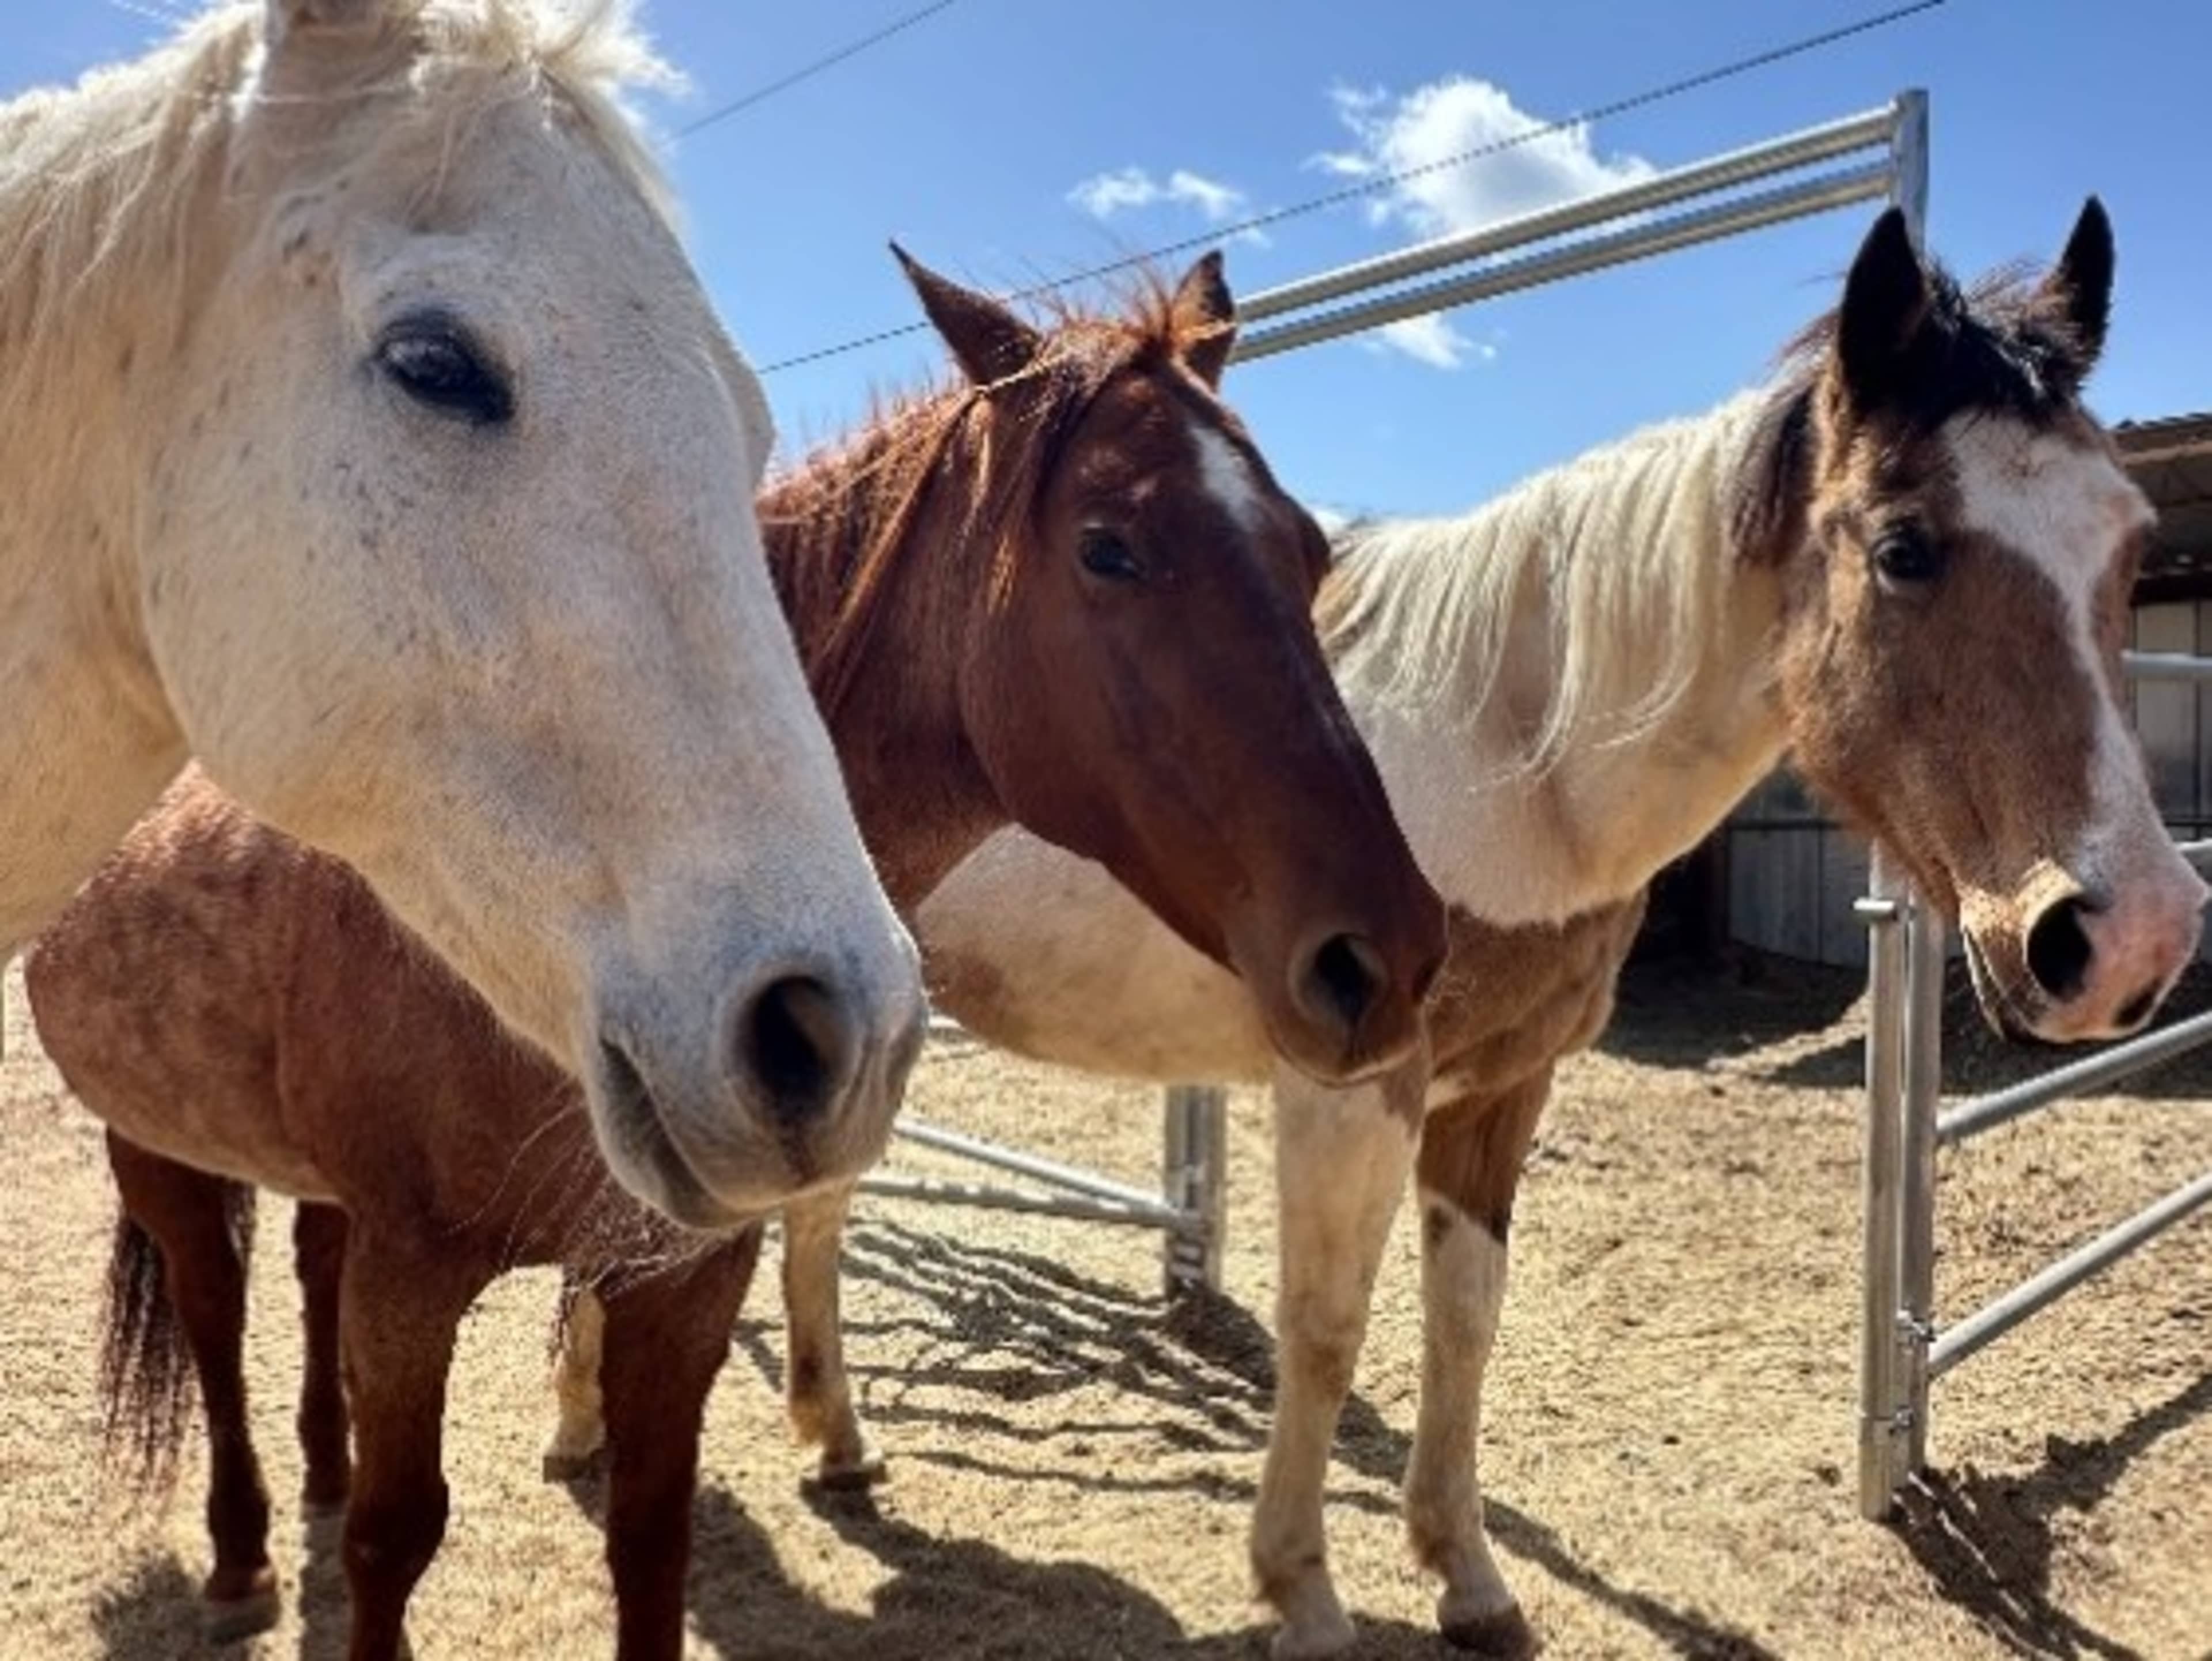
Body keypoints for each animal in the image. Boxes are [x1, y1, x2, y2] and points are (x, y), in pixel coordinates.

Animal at [29, 247, 1448, 1659]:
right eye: (1111, 547)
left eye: (1310, 551)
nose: (1384, 957)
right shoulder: (414, 1272)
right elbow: (395, 1538)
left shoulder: (683, 1276)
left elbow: (651, 1533)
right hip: (156, 1153)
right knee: (215, 1320)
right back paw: (242, 1556)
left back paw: (316, 1477)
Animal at [549, 200, 2206, 1660]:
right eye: (1908, 545)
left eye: (2131, 543)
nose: (2124, 934)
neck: (1512, 753)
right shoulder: (1350, 1076)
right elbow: (1329, 1323)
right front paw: (1305, 1589)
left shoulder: (1503, 1083)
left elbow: (1464, 1319)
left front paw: (1465, 1575)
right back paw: (593, 1423)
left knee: (812, 1207)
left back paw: (827, 1438)